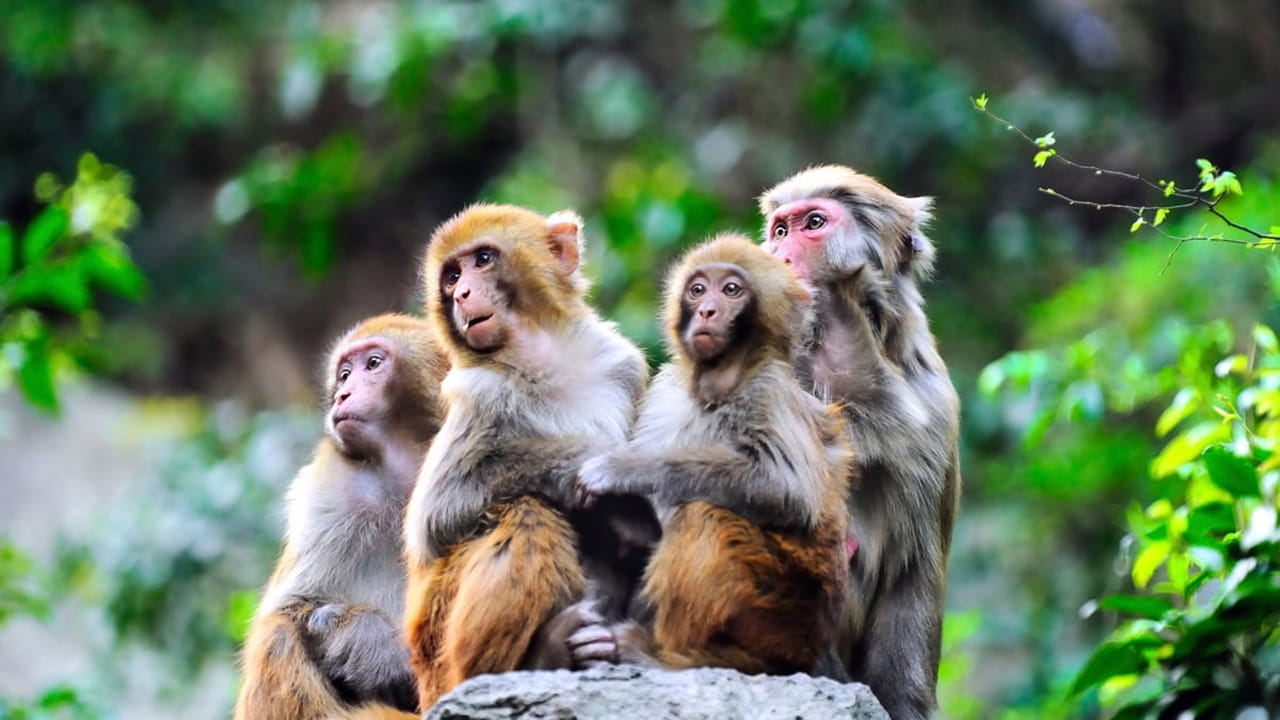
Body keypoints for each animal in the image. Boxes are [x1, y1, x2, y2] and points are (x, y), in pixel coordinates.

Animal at [233, 313, 449, 720]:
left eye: (374, 364)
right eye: (345, 374)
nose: (341, 395)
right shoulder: (328, 495)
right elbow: (289, 607)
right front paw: (367, 639)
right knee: (278, 635)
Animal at [402, 204, 649, 709]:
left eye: (482, 259)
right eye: (451, 276)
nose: (461, 293)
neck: (542, 359)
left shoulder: (623, 367)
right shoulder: (479, 395)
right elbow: (436, 518)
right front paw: (586, 464)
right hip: (437, 650)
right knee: (526, 512)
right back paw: (532, 660)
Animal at [571, 233, 853, 677]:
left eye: (731, 290)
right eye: (698, 289)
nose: (707, 310)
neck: (719, 387)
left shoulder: (769, 392)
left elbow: (788, 490)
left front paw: (622, 469)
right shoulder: (667, 391)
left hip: (780, 616)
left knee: (702, 515)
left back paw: (673, 657)